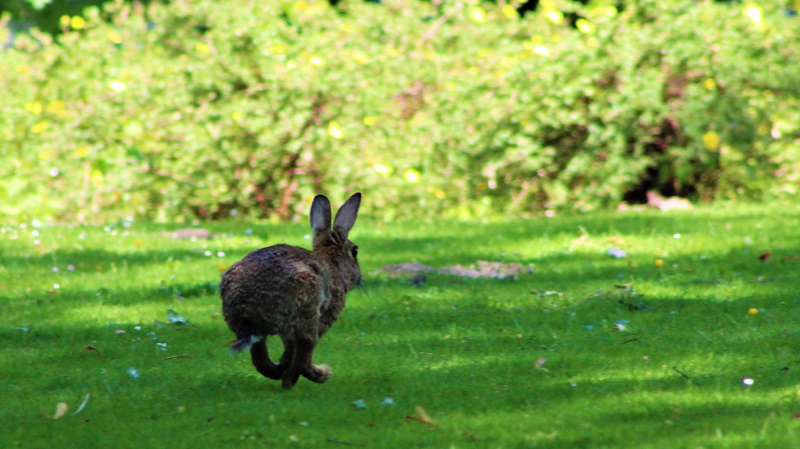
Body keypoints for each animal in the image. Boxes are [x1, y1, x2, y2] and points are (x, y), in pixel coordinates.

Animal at [220, 192, 360, 388]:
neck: (332, 261)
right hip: (307, 315)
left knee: (261, 360)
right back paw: (317, 375)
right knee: (303, 357)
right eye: (355, 251)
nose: (359, 278)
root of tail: (247, 314)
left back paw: (281, 372)